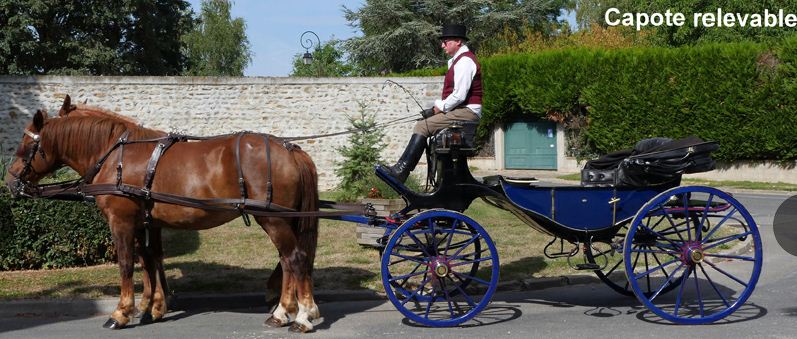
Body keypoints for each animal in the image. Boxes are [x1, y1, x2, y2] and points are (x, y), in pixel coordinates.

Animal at [3, 100, 320, 332]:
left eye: (27, 144)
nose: (9, 181)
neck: (114, 155)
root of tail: (290, 149)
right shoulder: (148, 221)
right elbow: (150, 259)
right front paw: (153, 307)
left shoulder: (121, 221)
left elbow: (127, 264)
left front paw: (122, 312)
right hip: (281, 220)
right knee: (288, 261)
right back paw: (283, 312)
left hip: (273, 219)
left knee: (295, 258)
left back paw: (302, 315)